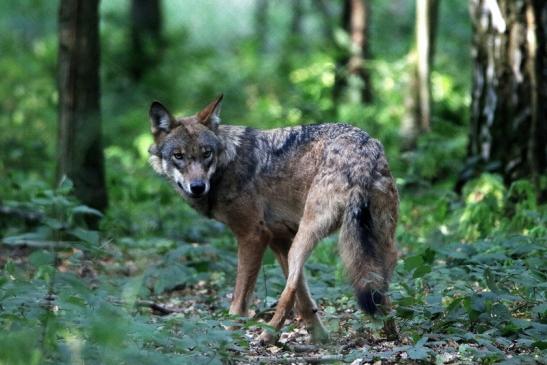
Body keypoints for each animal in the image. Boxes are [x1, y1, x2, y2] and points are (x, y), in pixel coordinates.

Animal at [148, 94, 400, 344]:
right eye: (178, 156)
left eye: (206, 153)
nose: (198, 187)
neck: (226, 166)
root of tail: (363, 149)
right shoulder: (280, 240)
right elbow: (305, 301)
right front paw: (321, 338)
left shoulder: (253, 236)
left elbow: (240, 302)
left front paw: (227, 336)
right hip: (378, 247)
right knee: (380, 290)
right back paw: (389, 333)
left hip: (305, 238)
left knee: (287, 292)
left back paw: (267, 335)